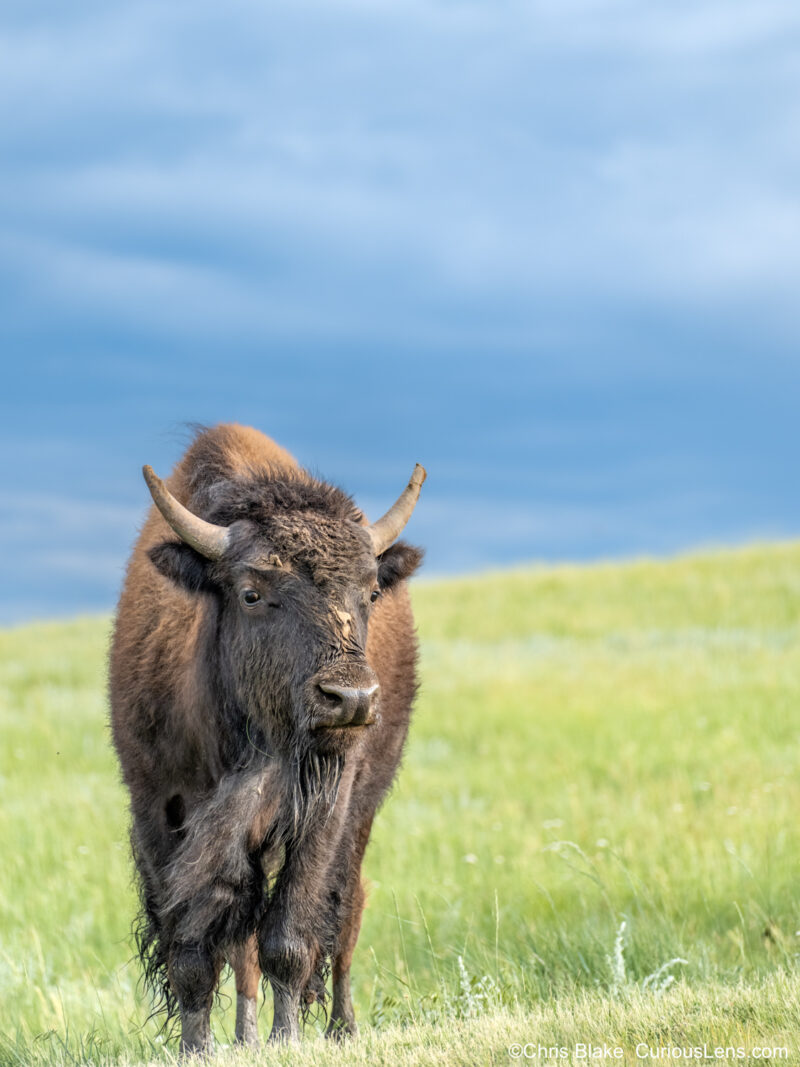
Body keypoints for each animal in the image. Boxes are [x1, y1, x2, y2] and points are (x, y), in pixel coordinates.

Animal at [111, 422, 433, 1049]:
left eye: (369, 593)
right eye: (252, 593)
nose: (351, 698)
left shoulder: (325, 810)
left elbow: (289, 935)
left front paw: (288, 1038)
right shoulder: (160, 812)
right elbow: (195, 951)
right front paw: (198, 1048)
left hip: (362, 813)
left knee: (346, 911)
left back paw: (340, 1027)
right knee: (243, 948)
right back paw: (245, 1035)